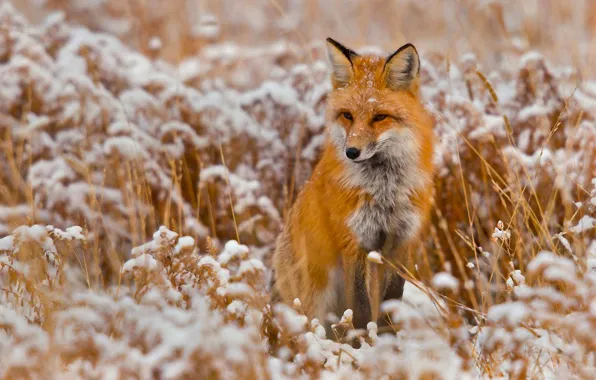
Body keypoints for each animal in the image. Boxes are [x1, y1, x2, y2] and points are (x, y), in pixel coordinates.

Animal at [270, 38, 434, 330]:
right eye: (347, 115)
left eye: (380, 117)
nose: (352, 152)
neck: (384, 191)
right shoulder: (354, 241)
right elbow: (359, 308)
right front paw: (363, 338)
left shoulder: (401, 241)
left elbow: (391, 301)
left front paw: (387, 337)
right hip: (314, 298)